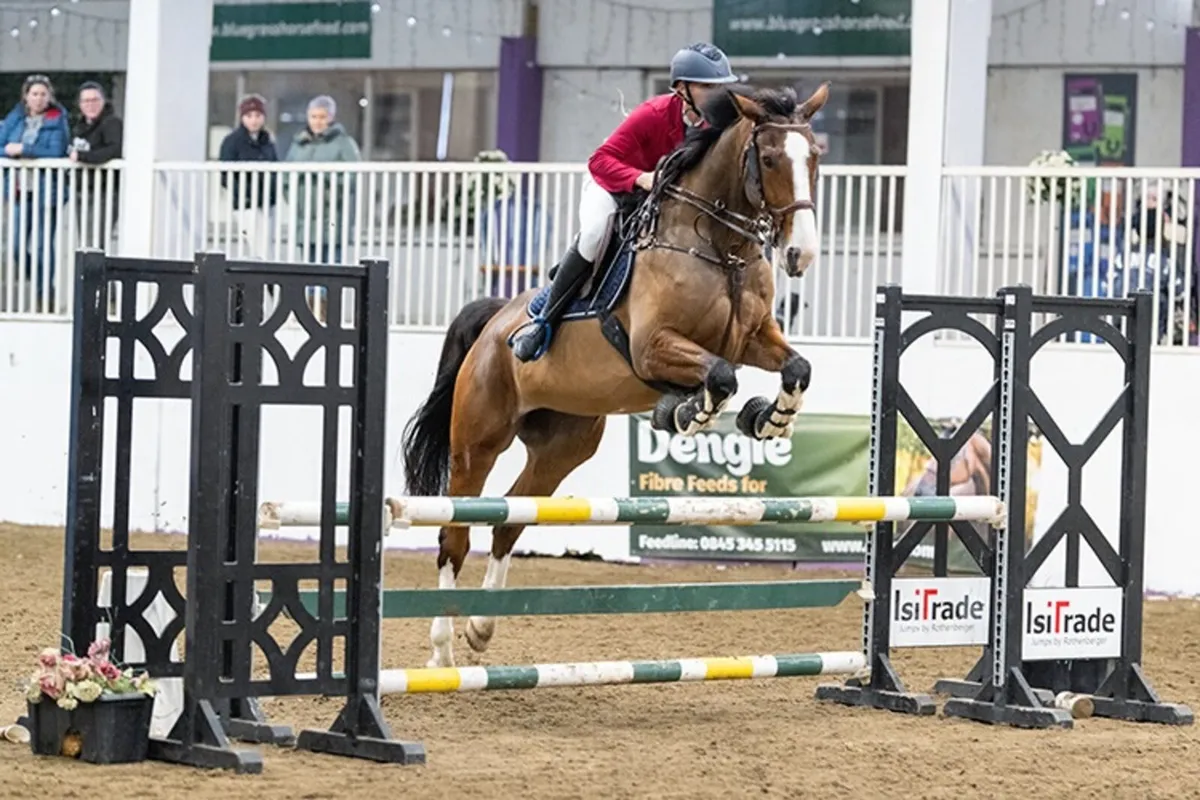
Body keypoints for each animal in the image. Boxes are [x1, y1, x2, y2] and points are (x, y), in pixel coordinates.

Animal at [401, 82, 830, 668]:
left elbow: (796, 366)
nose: (800, 253)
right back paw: (442, 651)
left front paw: (770, 419)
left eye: (815, 158)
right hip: (477, 442)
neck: (719, 247)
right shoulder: (654, 349)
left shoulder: (753, 337)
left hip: (562, 448)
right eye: (767, 159)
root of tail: (493, 322)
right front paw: (691, 413)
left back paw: (481, 629)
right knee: (455, 534)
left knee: (509, 520)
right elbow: (720, 377)